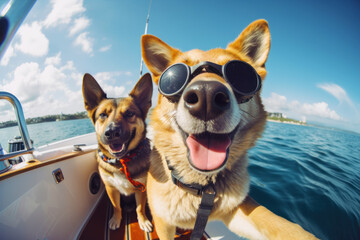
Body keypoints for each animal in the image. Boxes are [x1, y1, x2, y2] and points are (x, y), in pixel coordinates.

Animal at [81, 73, 153, 232]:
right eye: (103, 115)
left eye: (129, 113)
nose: (112, 132)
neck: (122, 161)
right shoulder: (111, 188)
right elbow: (116, 206)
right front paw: (116, 219)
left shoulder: (141, 188)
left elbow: (140, 208)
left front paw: (143, 220)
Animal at [141, 19, 318, 239]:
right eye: (174, 78)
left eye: (241, 74)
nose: (206, 97)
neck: (202, 187)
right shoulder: (164, 222)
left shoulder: (235, 208)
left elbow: (274, 222)